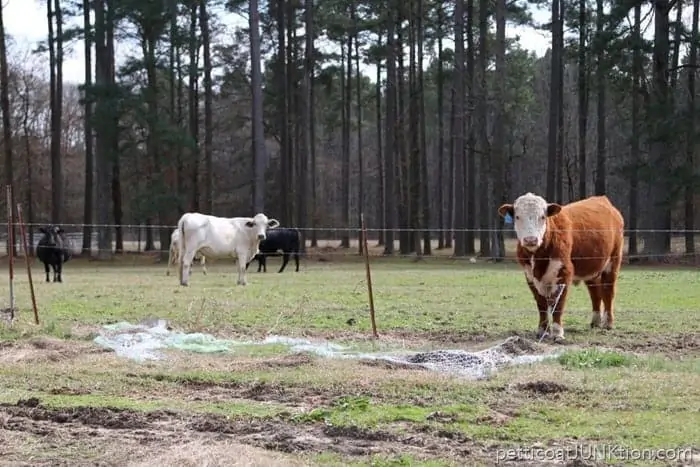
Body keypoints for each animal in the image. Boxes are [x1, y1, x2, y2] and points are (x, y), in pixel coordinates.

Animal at [494, 192, 628, 342]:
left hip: (613, 261)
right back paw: (595, 321)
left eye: (543, 217)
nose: (531, 239)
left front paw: (558, 332)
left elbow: (558, 304)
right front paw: (542, 330)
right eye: (517, 216)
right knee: (595, 292)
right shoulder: (529, 276)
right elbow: (541, 304)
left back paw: (608, 323)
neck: (539, 258)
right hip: (592, 268)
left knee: (608, 291)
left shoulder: (564, 273)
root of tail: (603, 200)